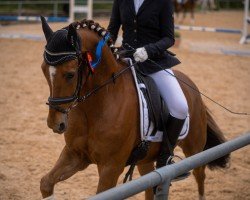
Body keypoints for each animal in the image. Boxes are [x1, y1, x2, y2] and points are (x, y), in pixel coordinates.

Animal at [39, 17, 230, 200]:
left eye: (70, 74)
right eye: (43, 70)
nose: (54, 123)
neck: (97, 107)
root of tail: (192, 87)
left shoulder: (111, 167)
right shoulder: (75, 155)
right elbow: (46, 183)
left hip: (194, 150)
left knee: (200, 177)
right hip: (145, 159)